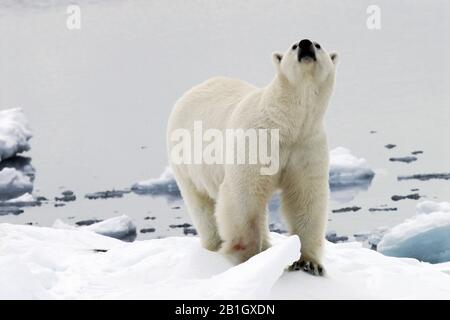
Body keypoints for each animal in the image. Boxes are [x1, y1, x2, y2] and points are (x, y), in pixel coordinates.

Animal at [168, 39, 338, 276]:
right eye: (294, 46)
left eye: (318, 44)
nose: (305, 44)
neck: (287, 123)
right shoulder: (257, 139)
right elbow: (244, 196)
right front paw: (248, 257)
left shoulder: (306, 145)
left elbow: (305, 197)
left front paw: (308, 263)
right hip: (186, 162)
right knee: (202, 207)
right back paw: (216, 245)